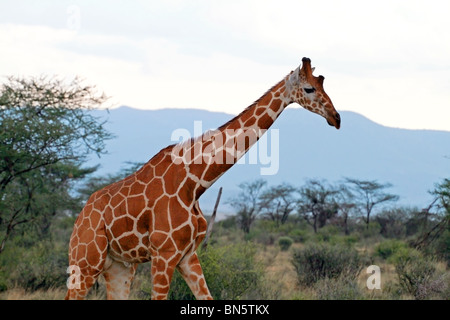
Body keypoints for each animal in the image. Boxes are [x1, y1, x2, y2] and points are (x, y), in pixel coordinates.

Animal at [65, 57, 342, 300]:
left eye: (323, 85)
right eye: (308, 88)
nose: (336, 118)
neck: (195, 183)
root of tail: (79, 218)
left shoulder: (188, 255)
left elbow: (207, 296)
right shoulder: (164, 254)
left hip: (120, 265)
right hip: (86, 261)